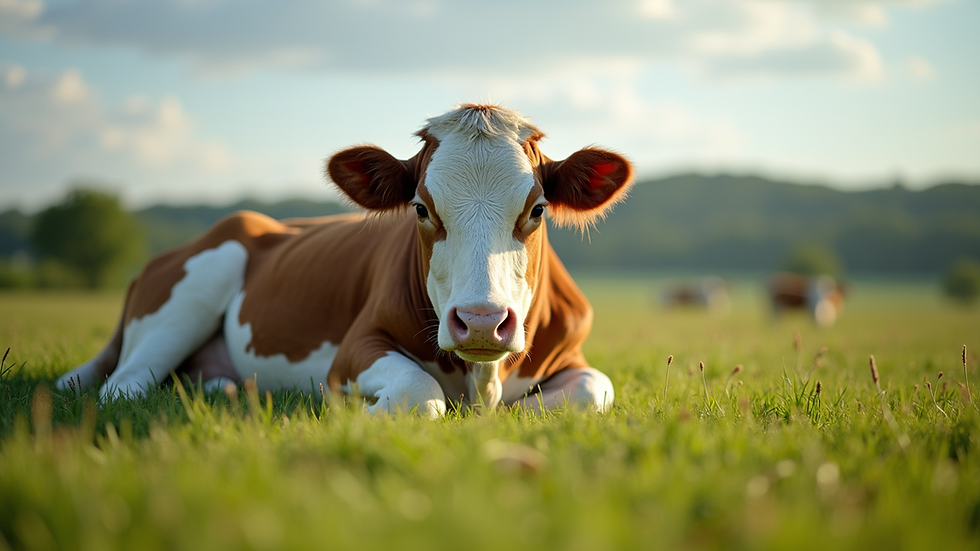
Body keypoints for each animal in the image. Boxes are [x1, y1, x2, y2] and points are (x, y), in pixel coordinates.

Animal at [55, 104, 634, 418]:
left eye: (537, 209)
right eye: (420, 208)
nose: (481, 322)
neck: (481, 377)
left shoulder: (573, 355)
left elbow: (592, 390)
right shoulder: (354, 350)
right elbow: (418, 393)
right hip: (196, 283)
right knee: (121, 387)